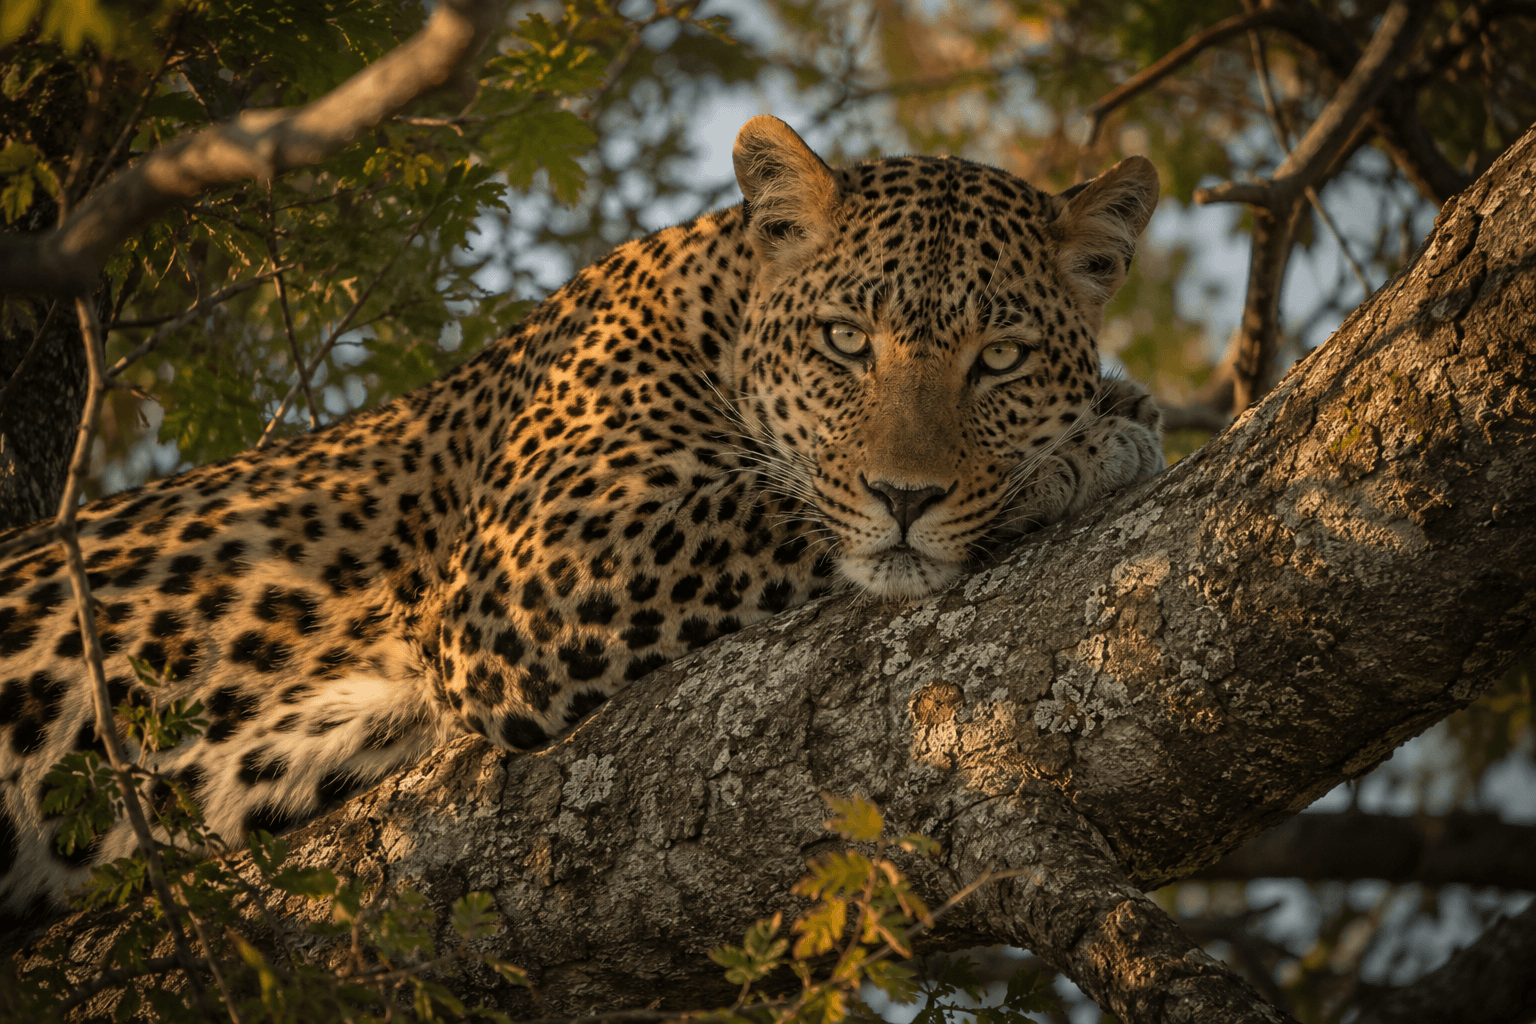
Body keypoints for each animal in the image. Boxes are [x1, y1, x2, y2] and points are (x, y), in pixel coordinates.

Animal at [0, 116, 1164, 923]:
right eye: (844, 339)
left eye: (1000, 358)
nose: (908, 496)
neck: (716, 311)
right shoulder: (531, 565)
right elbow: (783, 506)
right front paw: (1089, 450)